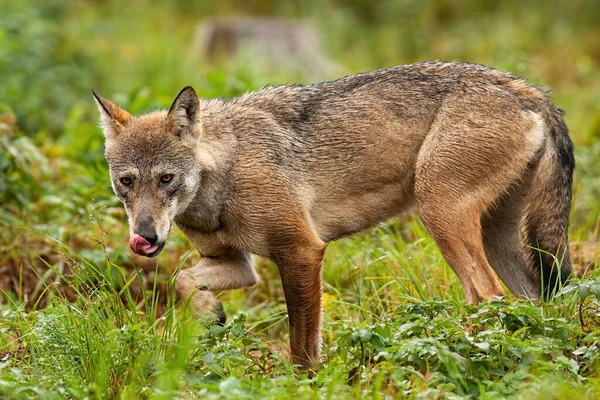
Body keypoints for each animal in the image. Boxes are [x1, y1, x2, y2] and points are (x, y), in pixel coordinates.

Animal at [91, 61, 576, 370]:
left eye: (167, 179)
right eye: (127, 182)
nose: (145, 237)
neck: (226, 172)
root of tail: (527, 90)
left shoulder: (302, 251)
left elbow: (302, 345)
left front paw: (302, 384)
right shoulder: (238, 265)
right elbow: (182, 280)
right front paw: (211, 313)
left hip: (440, 216)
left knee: (487, 296)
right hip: (499, 240)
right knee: (532, 303)